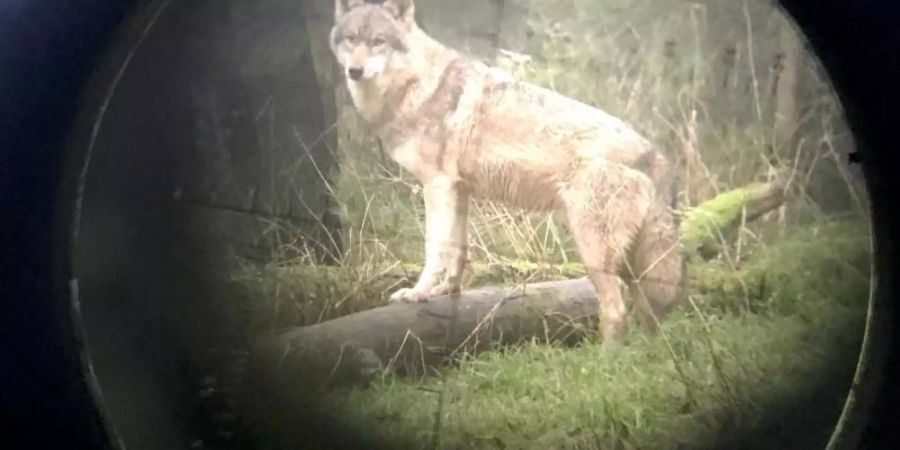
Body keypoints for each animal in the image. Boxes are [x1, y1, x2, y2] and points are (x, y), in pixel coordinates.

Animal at [330, 0, 688, 348]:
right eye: (352, 39)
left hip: (594, 253)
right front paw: (448, 291)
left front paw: (417, 293)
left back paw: (605, 363)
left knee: (616, 313)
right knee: (650, 316)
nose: (354, 71)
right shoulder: (459, 190)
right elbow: (458, 249)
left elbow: (435, 249)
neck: (416, 84)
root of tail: (654, 153)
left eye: (379, 41)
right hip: (631, 265)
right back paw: (650, 358)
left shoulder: (437, 186)